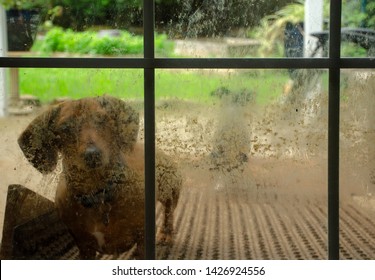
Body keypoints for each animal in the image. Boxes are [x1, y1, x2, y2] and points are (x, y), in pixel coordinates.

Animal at [17, 95, 182, 260]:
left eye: (102, 119)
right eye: (65, 127)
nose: (92, 154)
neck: (97, 195)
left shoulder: (143, 240)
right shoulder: (84, 246)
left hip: (170, 191)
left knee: (169, 211)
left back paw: (166, 234)